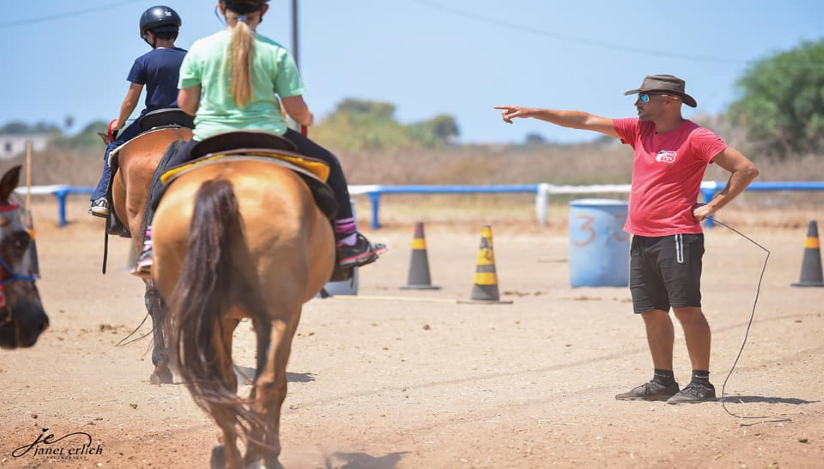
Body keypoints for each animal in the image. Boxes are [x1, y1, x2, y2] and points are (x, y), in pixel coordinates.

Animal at [151, 158, 334, 468]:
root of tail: (222, 184)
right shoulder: (280, 317)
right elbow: (275, 384)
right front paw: (266, 451)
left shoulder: (224, 319)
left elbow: (230, 383)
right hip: (279, 316)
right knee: (268, 383)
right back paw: (257, 454)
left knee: (220, 390)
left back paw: (233, 457)